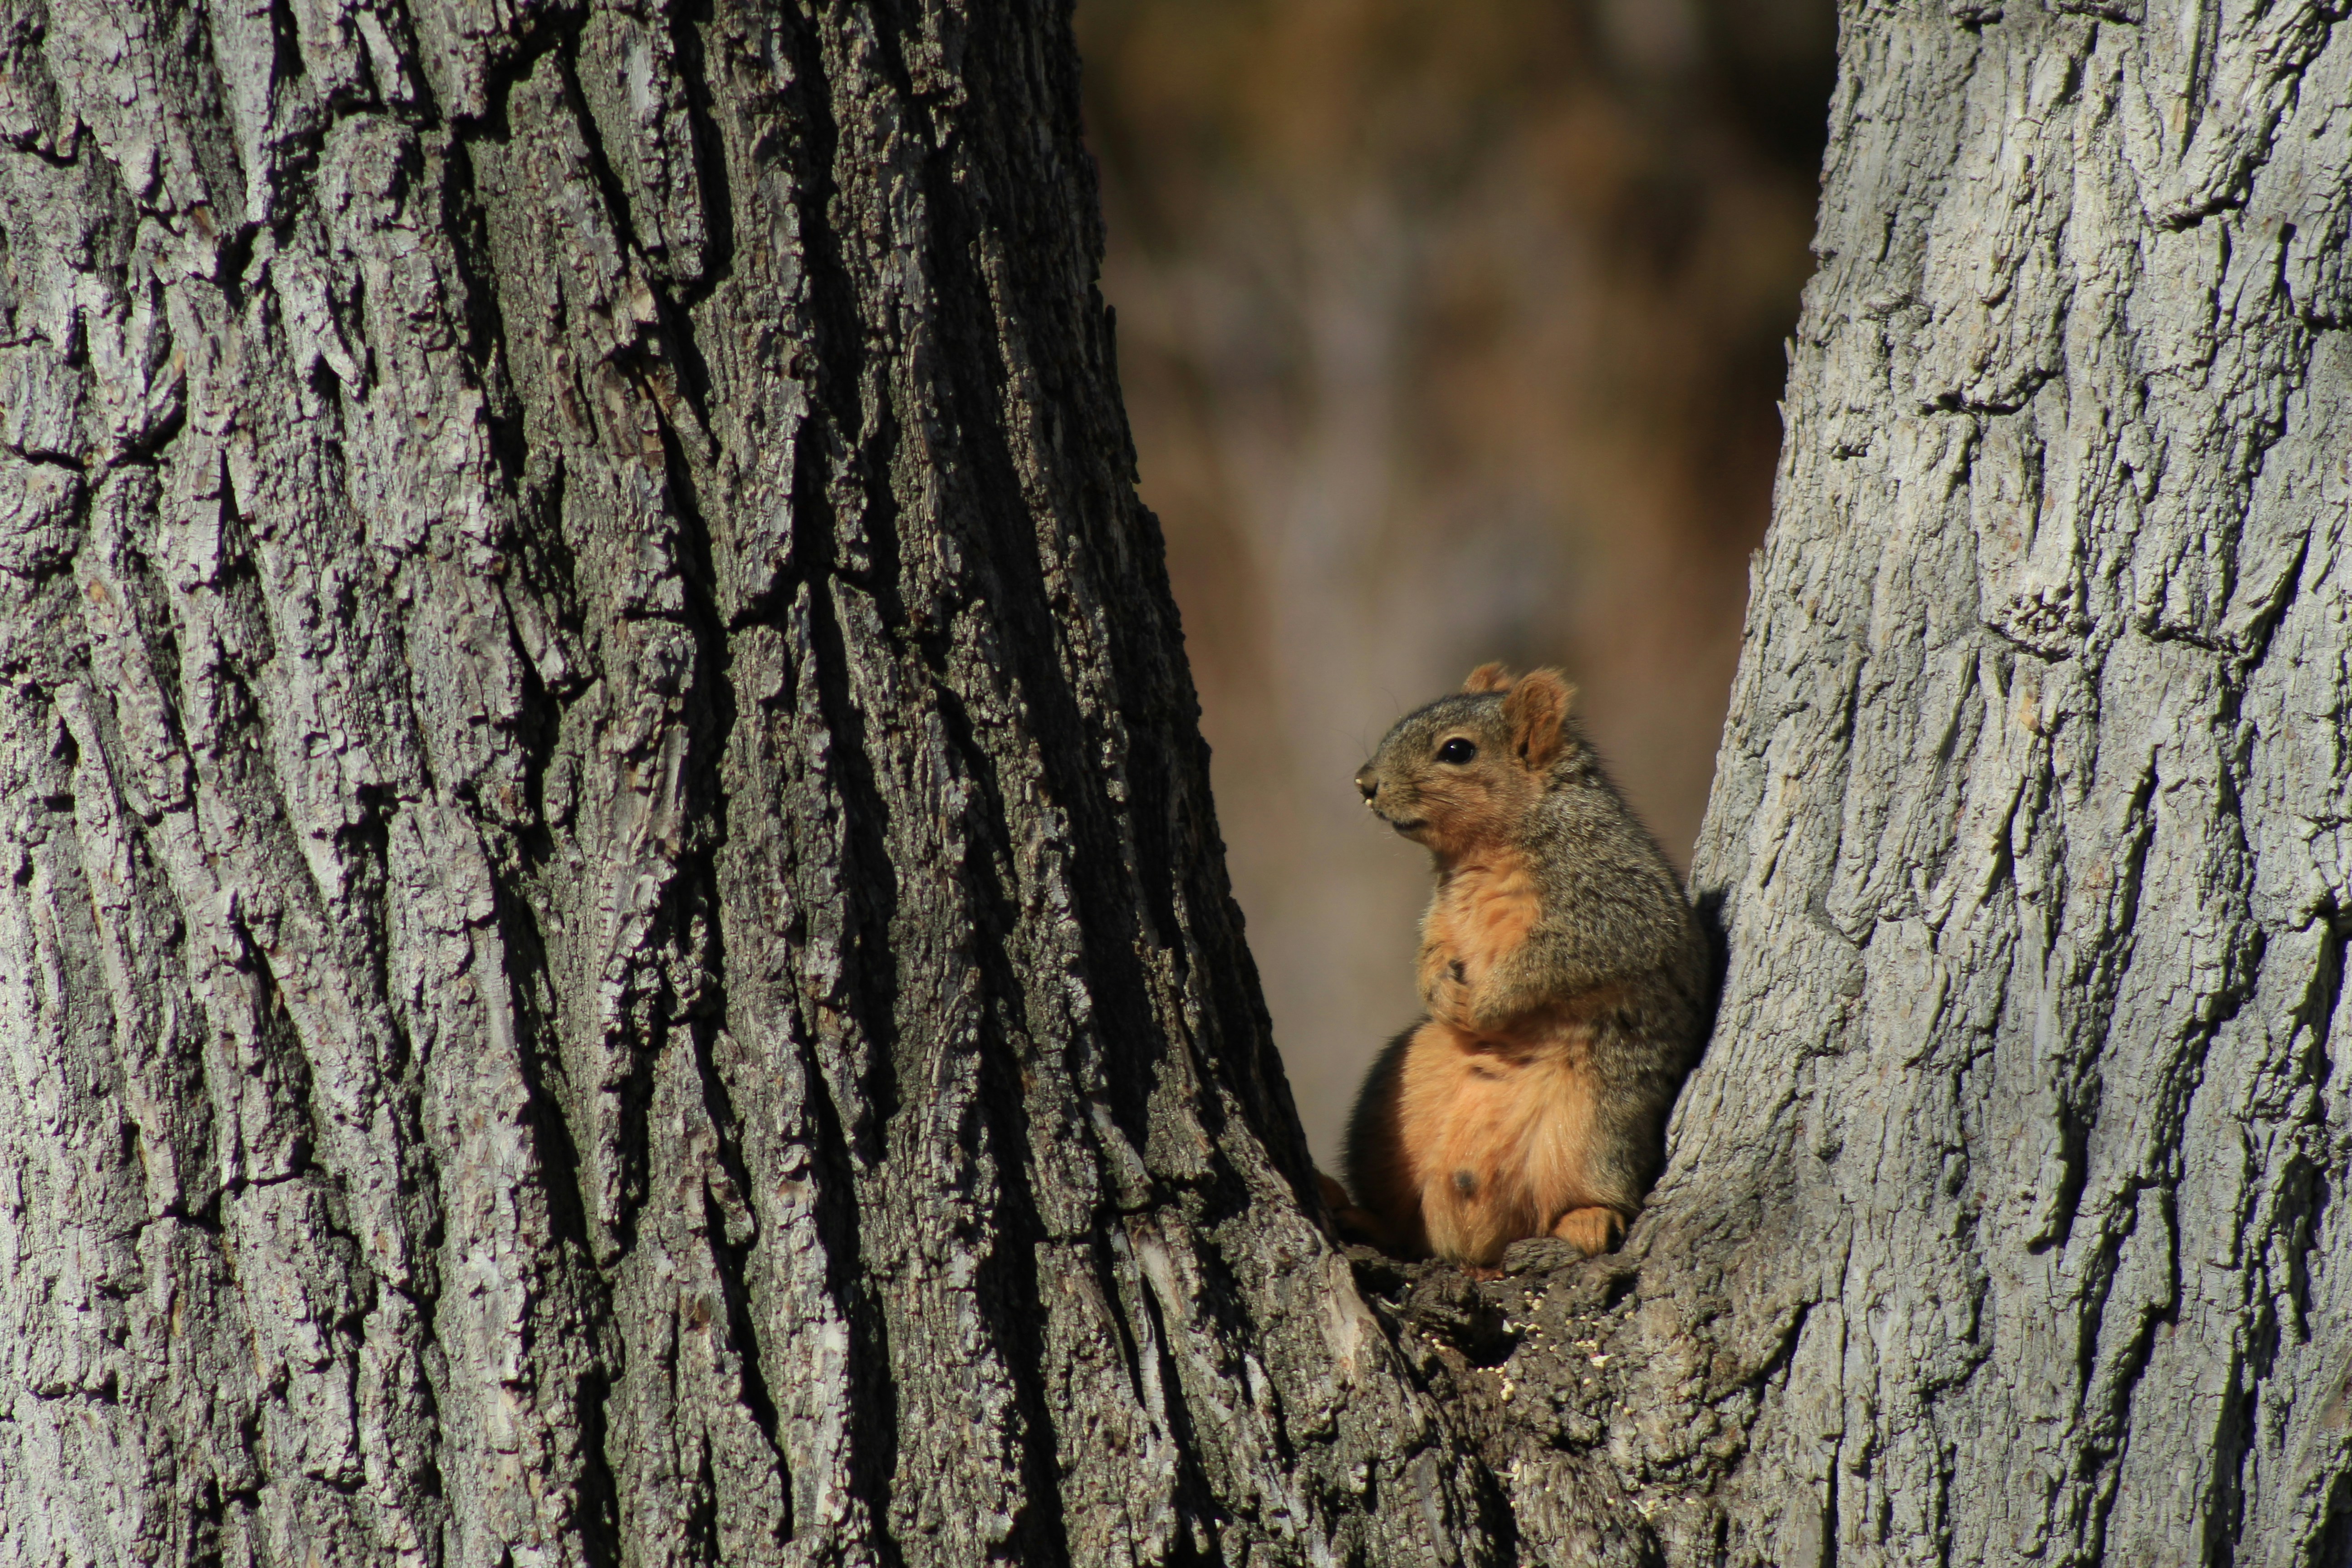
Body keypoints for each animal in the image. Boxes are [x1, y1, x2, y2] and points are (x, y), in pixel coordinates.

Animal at [1318, 663, 1709, 1271]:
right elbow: (1431, 946)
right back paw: (1364, 1218)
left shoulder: (1611, 905)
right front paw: (1437, 987)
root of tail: (1472, 1245)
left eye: (1457, 750)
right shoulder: (1442, 913)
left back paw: (1589, 1219)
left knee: (1592, 1188)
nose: (1364, 783)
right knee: (1404, 1227)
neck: (1482, 853)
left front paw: (1488, 1003)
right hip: (1388, 1103)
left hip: (1598, 1123)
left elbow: (1556, 960)